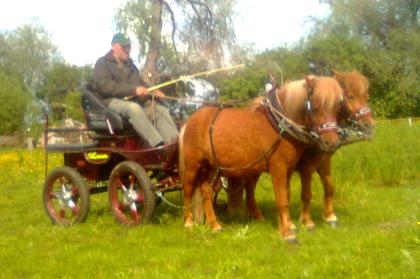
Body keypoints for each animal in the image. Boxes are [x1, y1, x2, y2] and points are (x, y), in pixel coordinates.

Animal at [179, 75, 342, 242]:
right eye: (315, 107)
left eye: (337, 107)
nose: (332, 143)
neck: (280, 124)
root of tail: (190, 120)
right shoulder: (278, 168)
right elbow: (282, 199)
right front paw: (287, 233)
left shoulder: (289, 169)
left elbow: (287, 195)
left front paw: (288, 225)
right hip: (193, 165)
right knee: (188, 190)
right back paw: (189, 222)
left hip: (214, 167)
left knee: (206, 190)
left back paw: (214, 224)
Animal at [225, 69, 376, 230]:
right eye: (350, 96)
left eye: (366, 96)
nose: (369, 125)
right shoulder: (307, 167)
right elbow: (306, 194)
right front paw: (307, 221)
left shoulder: (324, 163)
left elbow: (329, 188)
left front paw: (330, 217)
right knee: (249, 188)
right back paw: (257, 215)